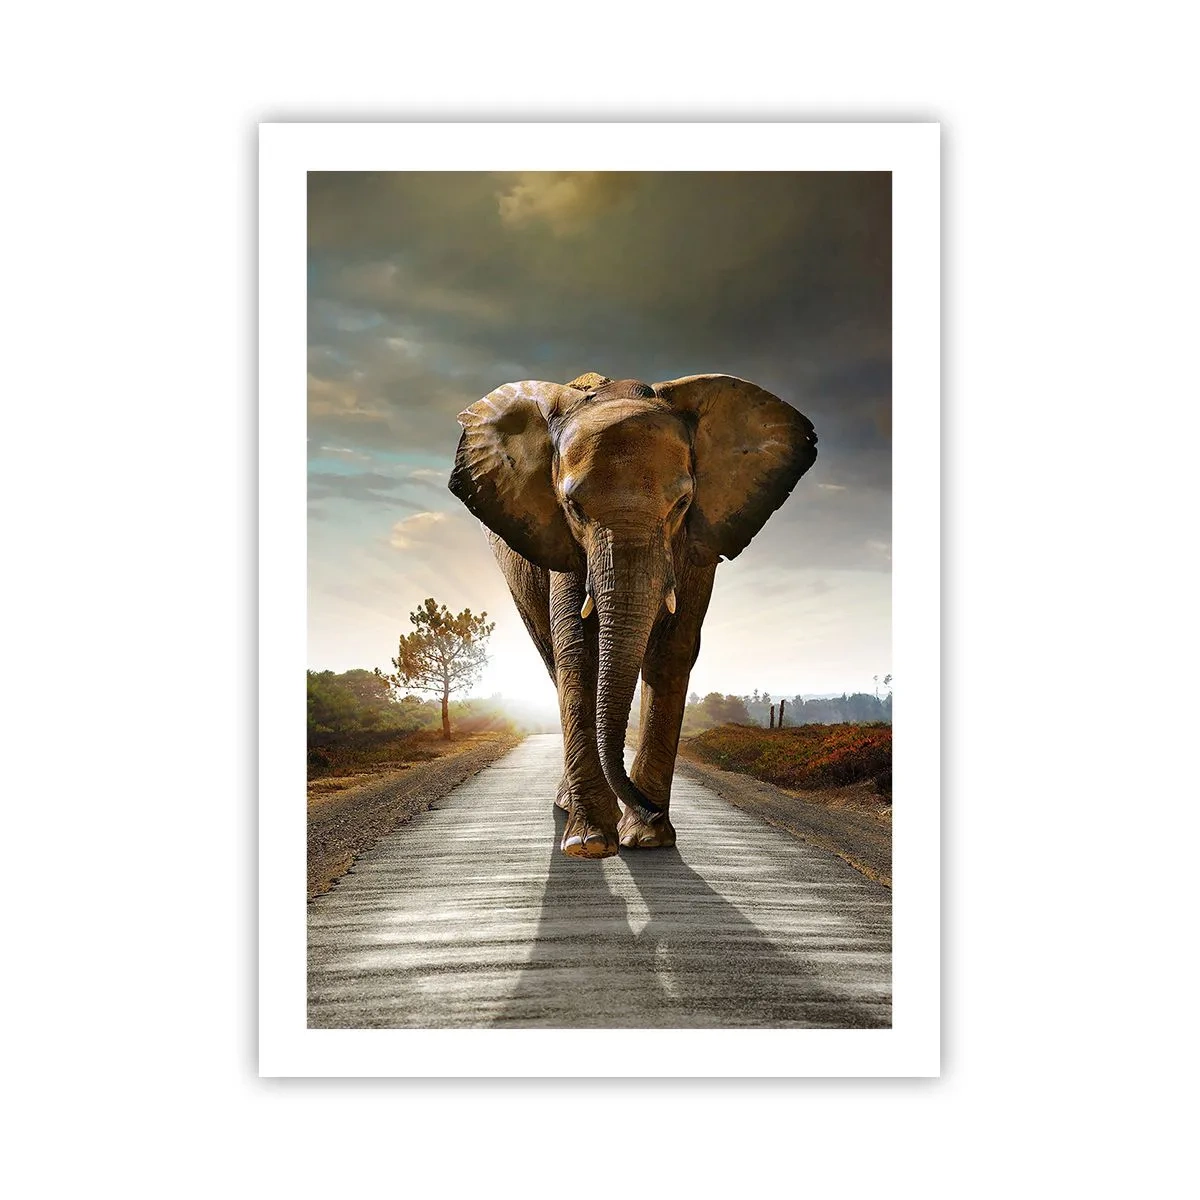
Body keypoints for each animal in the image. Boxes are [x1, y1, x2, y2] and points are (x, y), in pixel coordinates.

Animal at [448, 371, 817, 858]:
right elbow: (578, 650)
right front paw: (590, 843)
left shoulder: (697, 542)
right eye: (573, 507)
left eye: (682, 504)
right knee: (551, 657)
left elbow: (673, 650)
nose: (650, 809)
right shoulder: (564, 544)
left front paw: (647, 838)